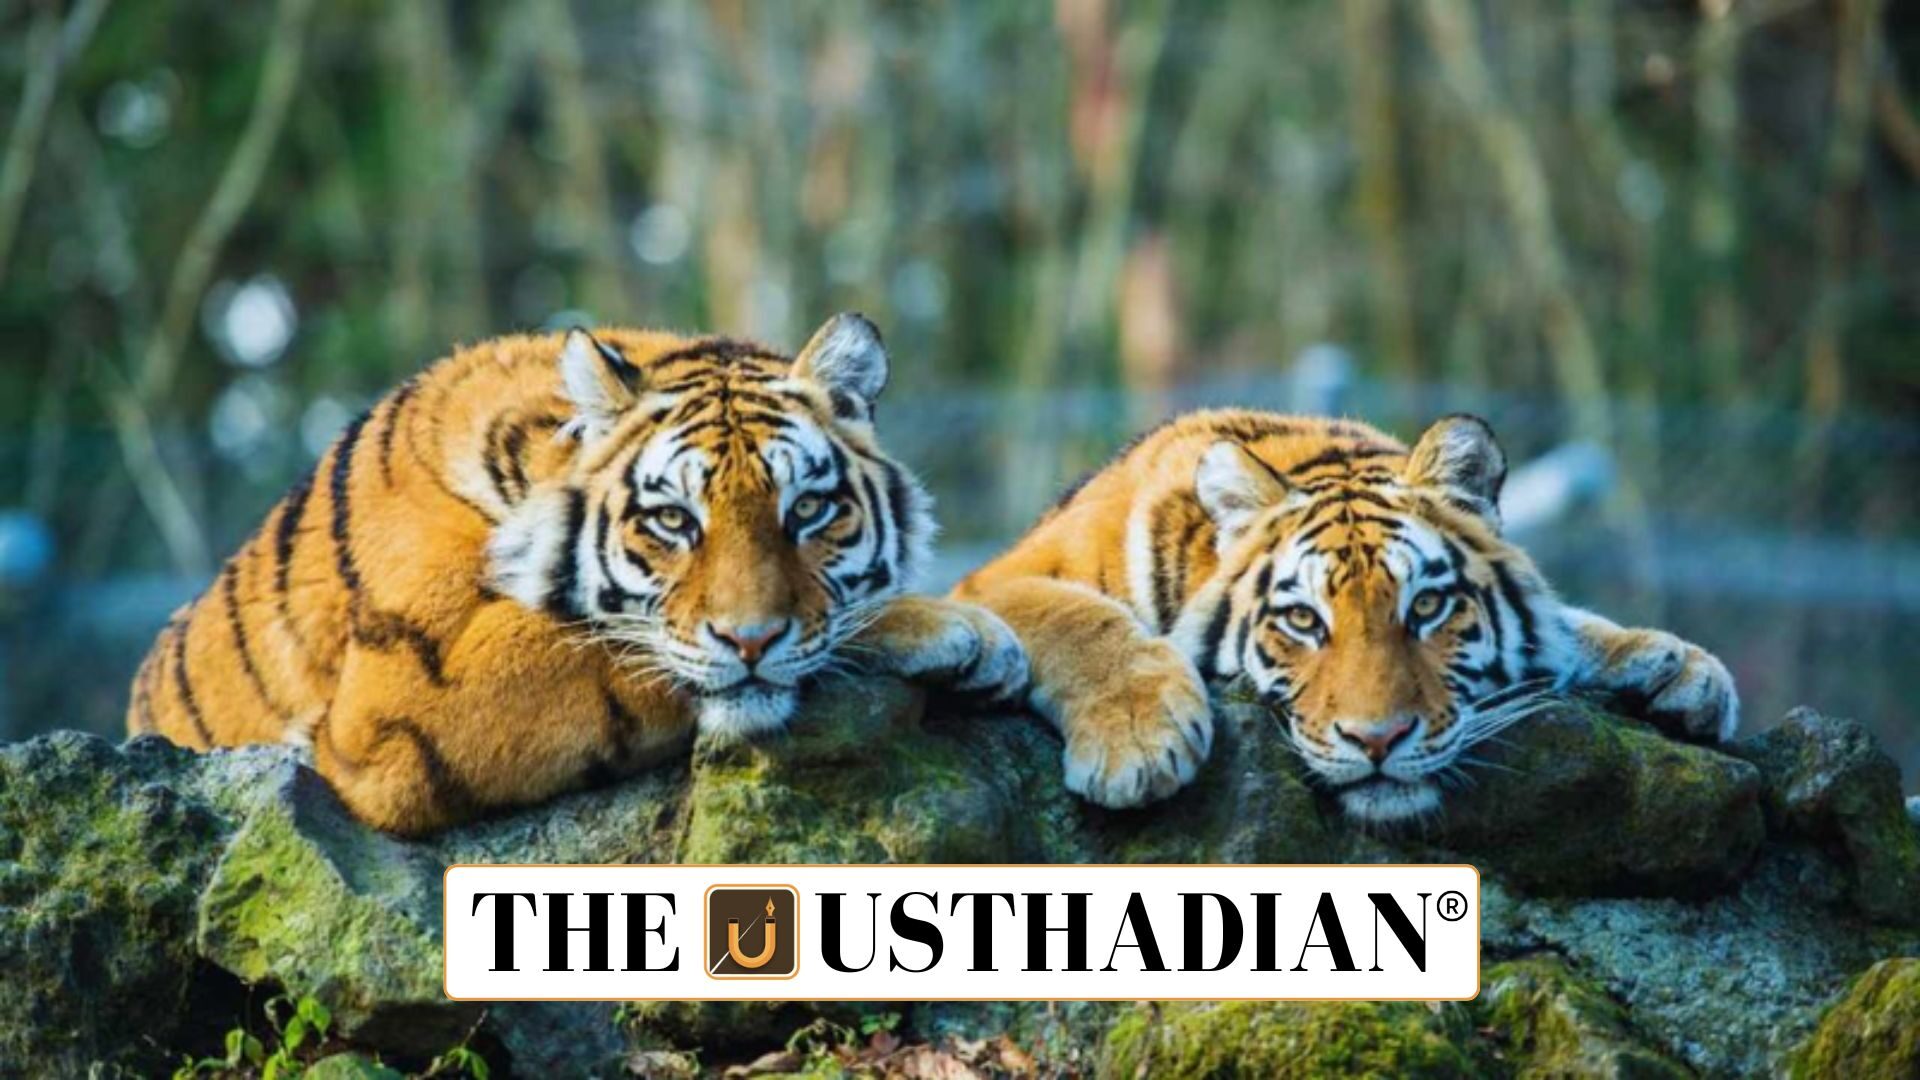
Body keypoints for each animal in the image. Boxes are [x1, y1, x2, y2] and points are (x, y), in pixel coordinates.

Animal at [126, 312, 1028, 835]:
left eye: (807, 509)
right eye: (674, 521)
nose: (751, 642)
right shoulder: (399, 702)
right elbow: (613, 646)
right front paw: (955, 627)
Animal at [953, 409, 1738, 823]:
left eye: (1427, 606)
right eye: (1303, 621)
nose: (1378, 741)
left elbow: (1568, 625)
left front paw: (1679, 666)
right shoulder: (992, 583)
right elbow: (1078, 616)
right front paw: (1138, 741)